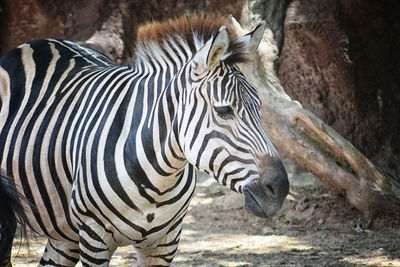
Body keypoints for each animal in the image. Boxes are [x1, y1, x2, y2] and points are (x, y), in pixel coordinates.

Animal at [0, 15, 288, 266]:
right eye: (224, 110)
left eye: (260, 107)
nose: (281, 189)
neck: (159, 181)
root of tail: (38, 42)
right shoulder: (94, 237)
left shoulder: (166, 241)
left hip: (64, 231)